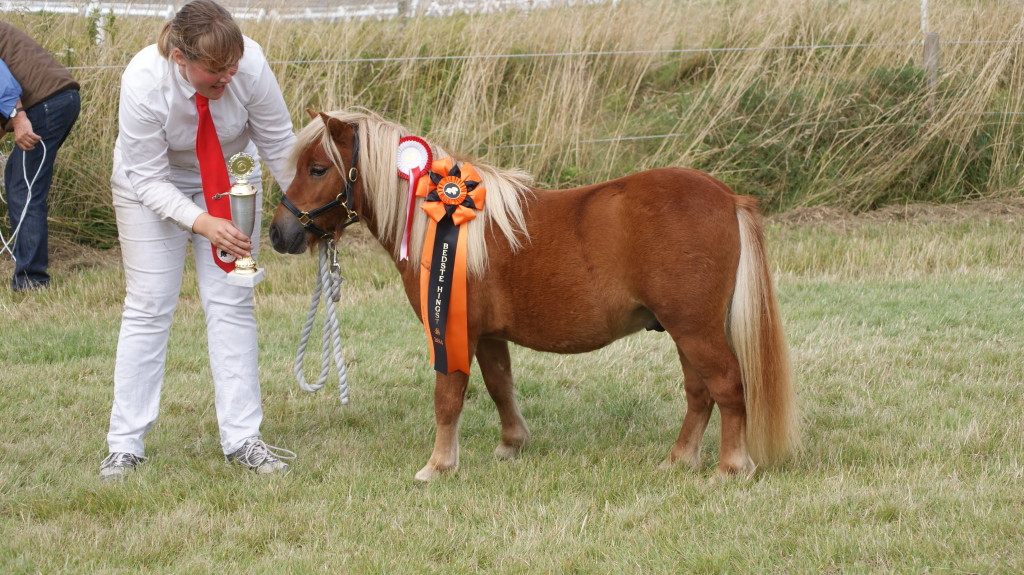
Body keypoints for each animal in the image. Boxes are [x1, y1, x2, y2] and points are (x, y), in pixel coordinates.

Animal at [270, 107, 798, 478]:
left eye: (318, 169)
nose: (279, 234)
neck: (444, 221)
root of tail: (728, 197)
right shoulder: (487, 335)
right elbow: (500, 386)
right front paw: (511, 444)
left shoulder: (456, 333)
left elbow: (449, 396)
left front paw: (438, 465)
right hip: (684, 330)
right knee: (699, 393)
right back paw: (679, 459)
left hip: (695, 329)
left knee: (727, 386)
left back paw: (731, 467)